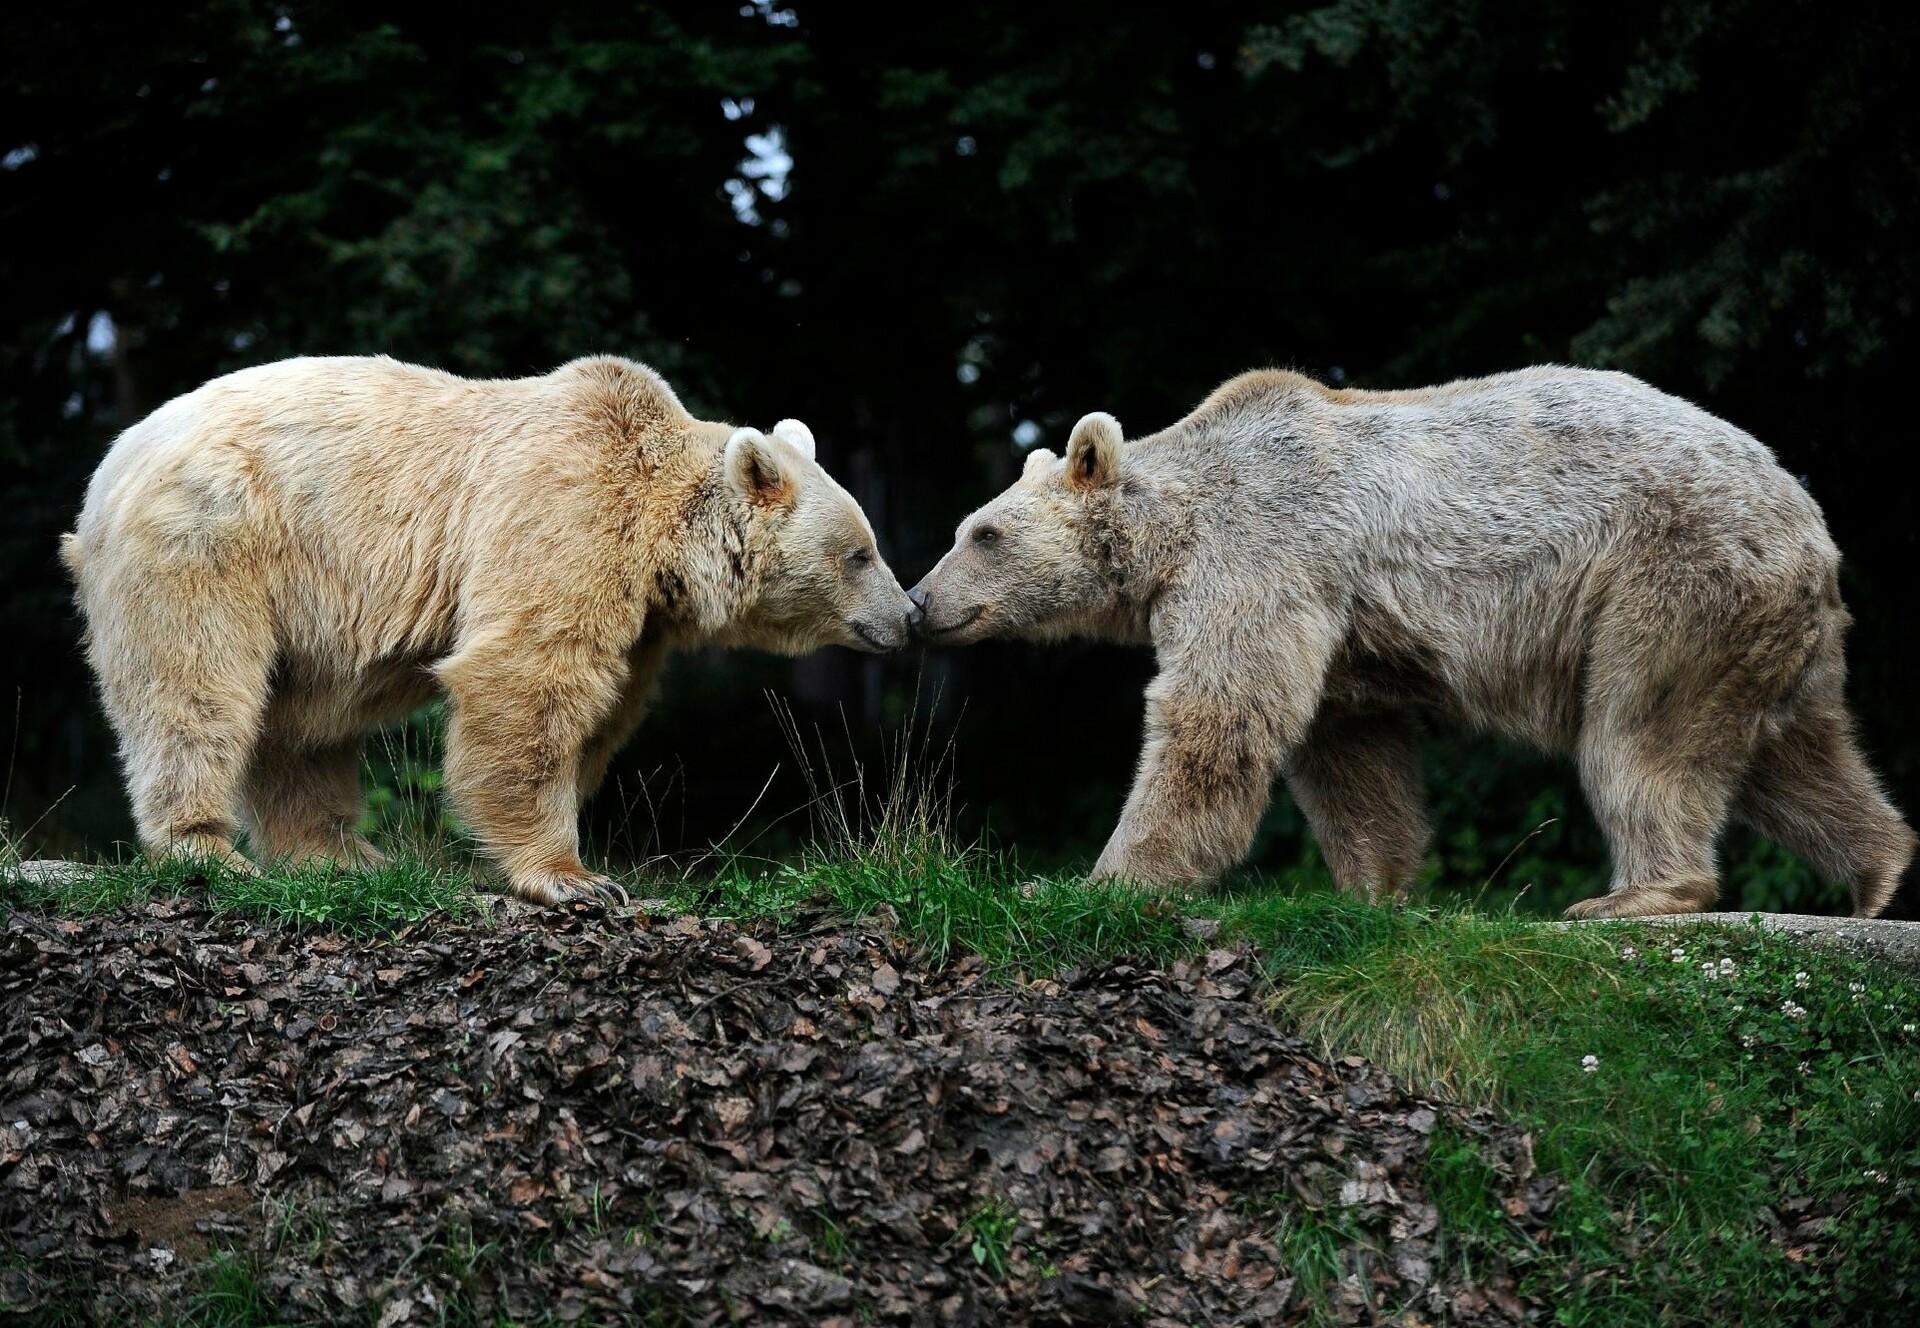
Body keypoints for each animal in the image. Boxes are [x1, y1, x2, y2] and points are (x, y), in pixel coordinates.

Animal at [63, 354, 917, 904]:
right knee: (196, 686)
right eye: (859, 553)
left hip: (302, 608)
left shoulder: (642, 619)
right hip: (212, 539)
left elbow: (602, 710)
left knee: (299, 729)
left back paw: (340, 853)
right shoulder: (566, 513)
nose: (908, 613)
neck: (660, 533)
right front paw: (575, 879)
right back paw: (203, 846)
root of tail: (111, 466)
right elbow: (528, 675)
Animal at [908, 366, 1914, 919]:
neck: (1175, 530)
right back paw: (1885, 874)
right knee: (1797, 756)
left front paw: (1100, 879)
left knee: (1642, 734)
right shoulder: (1338, 631)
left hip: (1669, 577)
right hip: (1771, 627)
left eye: (982, 533)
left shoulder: (1263, 554)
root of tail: (1806, 516)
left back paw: (1633, 893)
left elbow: (1217, 716)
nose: (920, 602)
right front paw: (1371, 886)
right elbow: (1348, 754)